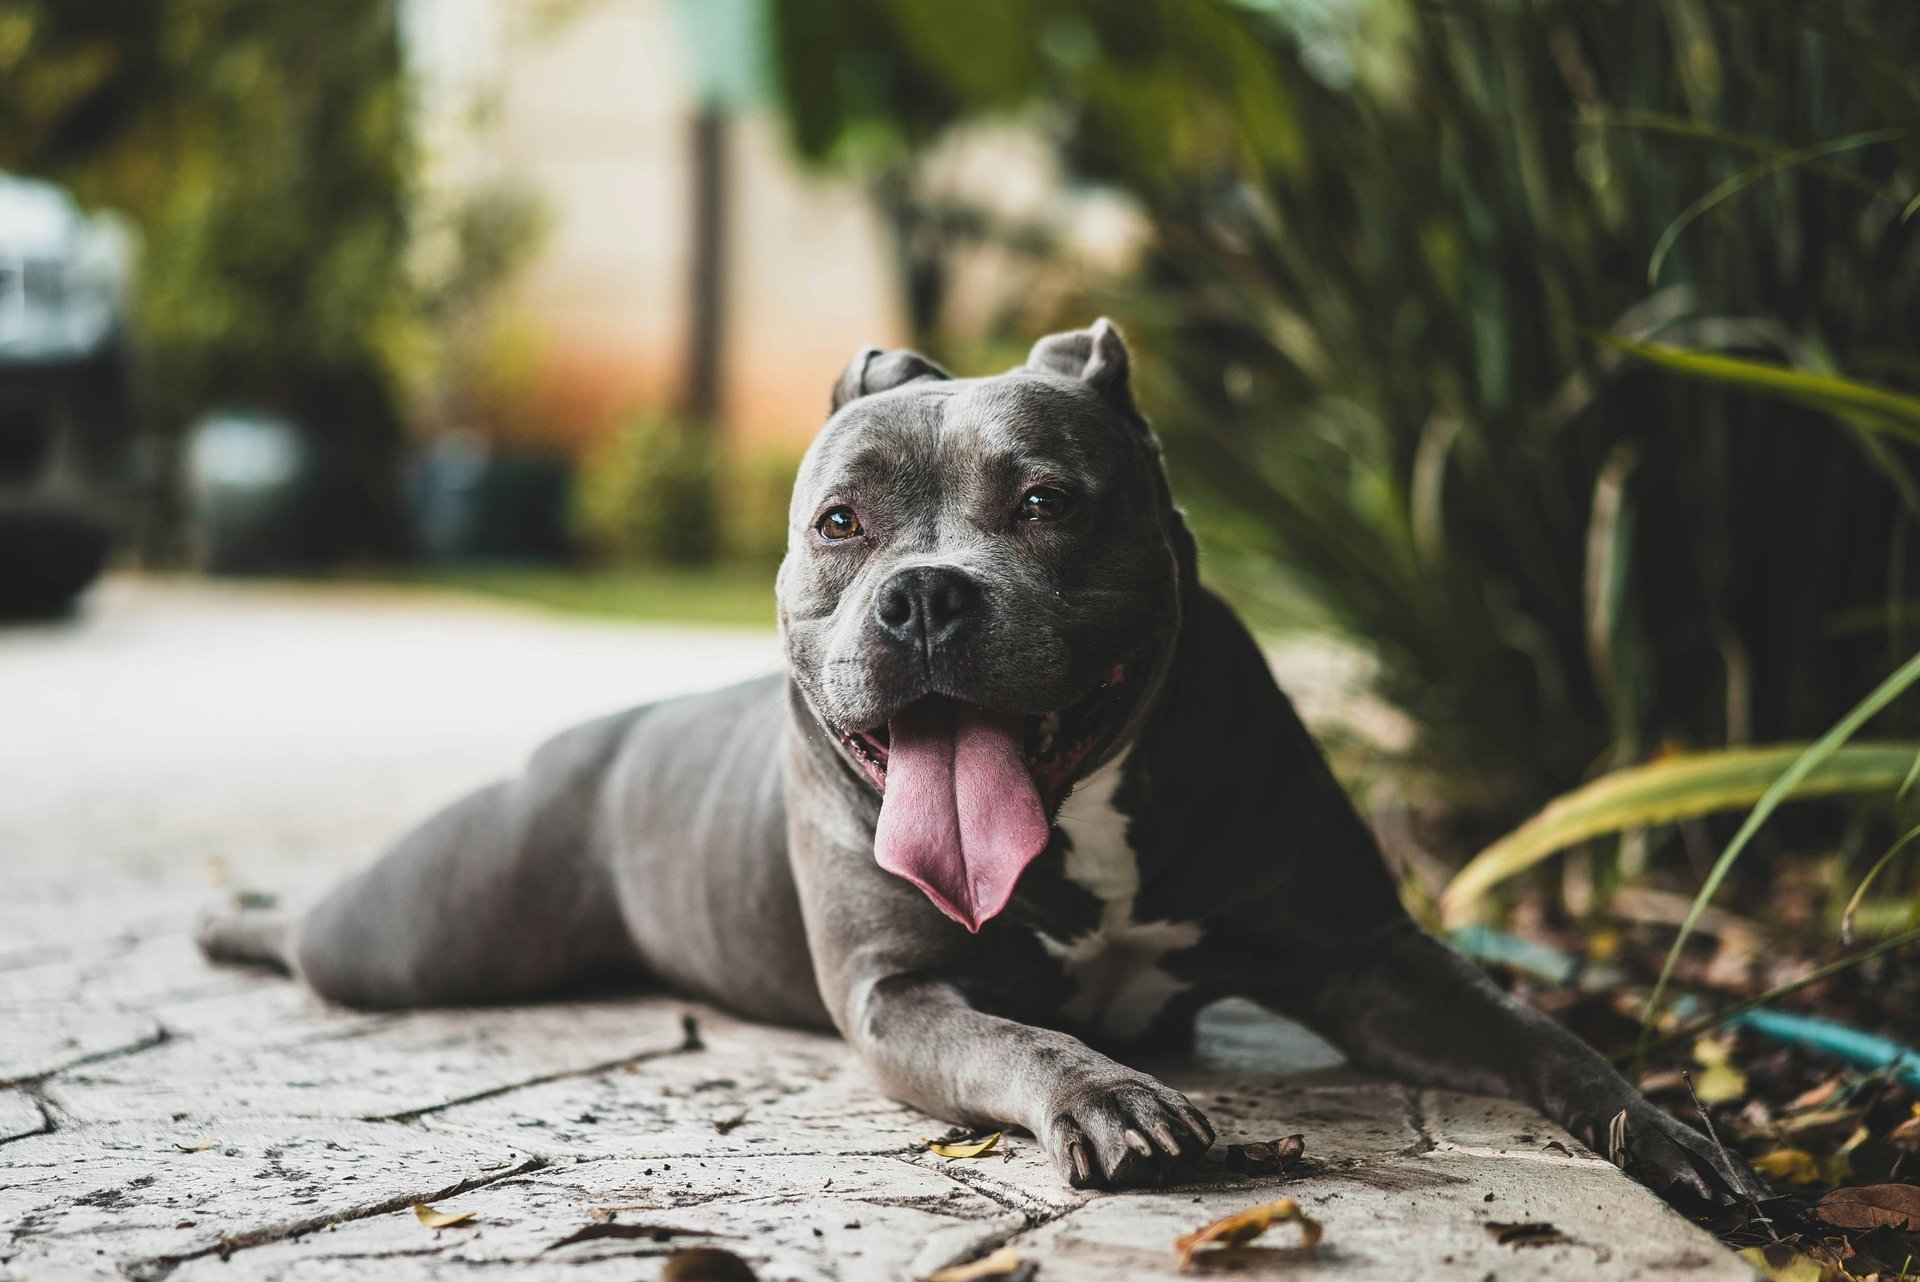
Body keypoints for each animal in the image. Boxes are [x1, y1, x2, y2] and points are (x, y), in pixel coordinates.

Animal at [202, 318, 1758, 1205]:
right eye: (839, 523)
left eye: (1046, 501)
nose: (924, 596)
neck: (1085, 816)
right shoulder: (902, 994)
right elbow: (1021, 1034)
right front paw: (1110, 1095)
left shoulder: (1369, 956)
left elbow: (1536, 1032)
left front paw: (1653, 1126)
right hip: (425, 927)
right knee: (324, 935)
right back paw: (237, 920)